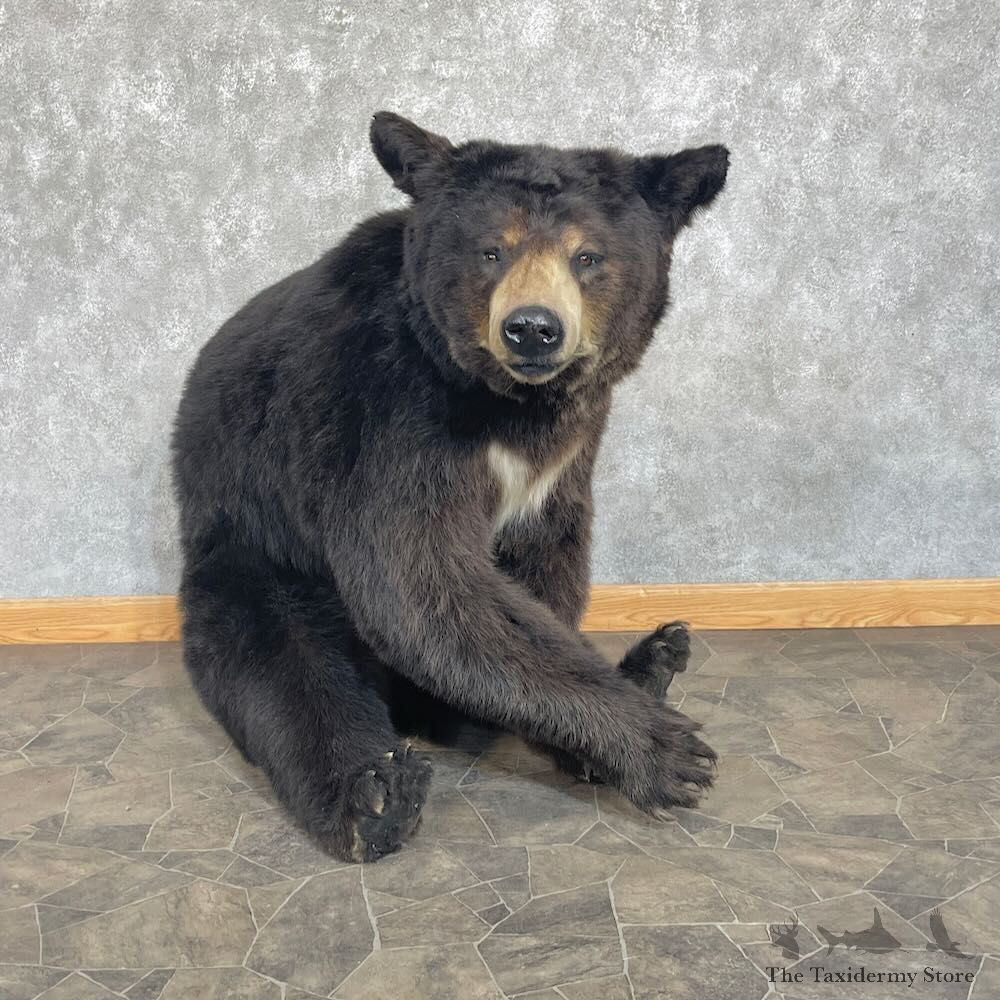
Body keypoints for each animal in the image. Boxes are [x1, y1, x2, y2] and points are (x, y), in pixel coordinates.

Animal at [171, 112, 730, 863]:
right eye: (492, 251)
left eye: (587, 257)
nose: (532, 328)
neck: (508, 406)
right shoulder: (384, 410)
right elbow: (419, 580)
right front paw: (667, 753)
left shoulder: (564, 460)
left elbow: (541, 570)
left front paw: (600, 733)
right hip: (256, 555)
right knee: (284, 671)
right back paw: (376, 796)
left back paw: (657, 659)